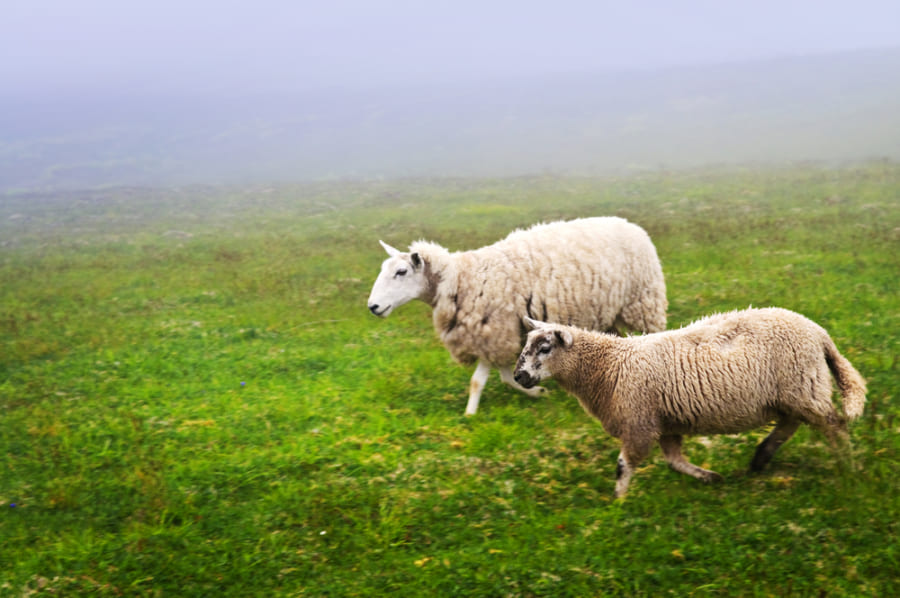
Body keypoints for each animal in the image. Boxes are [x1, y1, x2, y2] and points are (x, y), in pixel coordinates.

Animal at [366, 217, 668, 418]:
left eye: (401, 272)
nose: (373, 306)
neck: (462, 279)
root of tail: (633, 226)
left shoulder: (494, 331)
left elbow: (480, 381)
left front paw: (469, 415)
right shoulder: (494, 336)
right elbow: (503, 377)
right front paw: (536, 393)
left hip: (642, 304)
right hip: (617, 313)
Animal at [516, 308, 868, 500]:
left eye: (545, 348)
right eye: (526, 346)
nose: (520, 376)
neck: (609, 365)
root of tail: (818, 333)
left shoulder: (639, 422)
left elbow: (623, 465)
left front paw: (617, 502)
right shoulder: (665, 423)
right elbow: (674, 461)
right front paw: (710, 477)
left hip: (803, 387)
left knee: (834, 426)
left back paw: (849, 470)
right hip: (792, 393)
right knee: (791, 423)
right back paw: (760, 459)